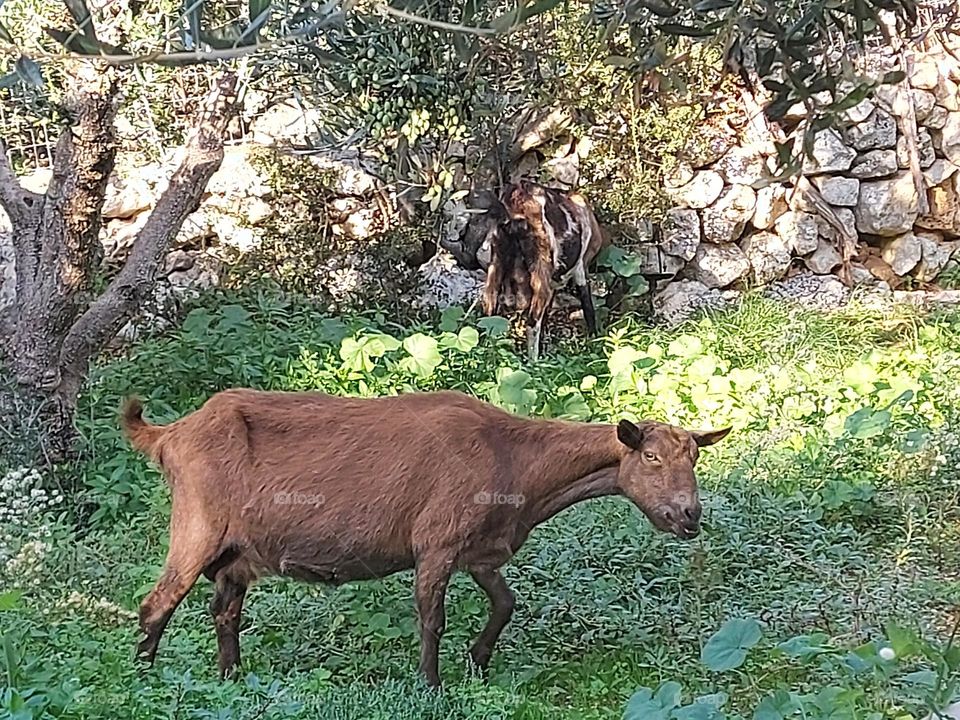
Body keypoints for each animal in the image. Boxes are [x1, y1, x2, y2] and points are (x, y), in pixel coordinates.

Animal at [124, 388, 732, 688]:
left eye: (696, 457)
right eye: (650, 458)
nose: (689, 516)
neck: (513, 459)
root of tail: (170, 434)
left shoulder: (482, 551)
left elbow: (506, 603)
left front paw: (478, 662)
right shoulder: (436, 544)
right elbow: (431, 619)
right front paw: (430, 684)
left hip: (237, 553)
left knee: (224, 611)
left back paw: (231, 678)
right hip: (199, 525)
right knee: (156, 603)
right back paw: (144, 679)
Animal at [438, 180, 604, 360]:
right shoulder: (581, 268)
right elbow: (588, 306)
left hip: (497, 264)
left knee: (489, 311)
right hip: (540, 273)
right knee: (532, 322)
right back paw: (534, 362)